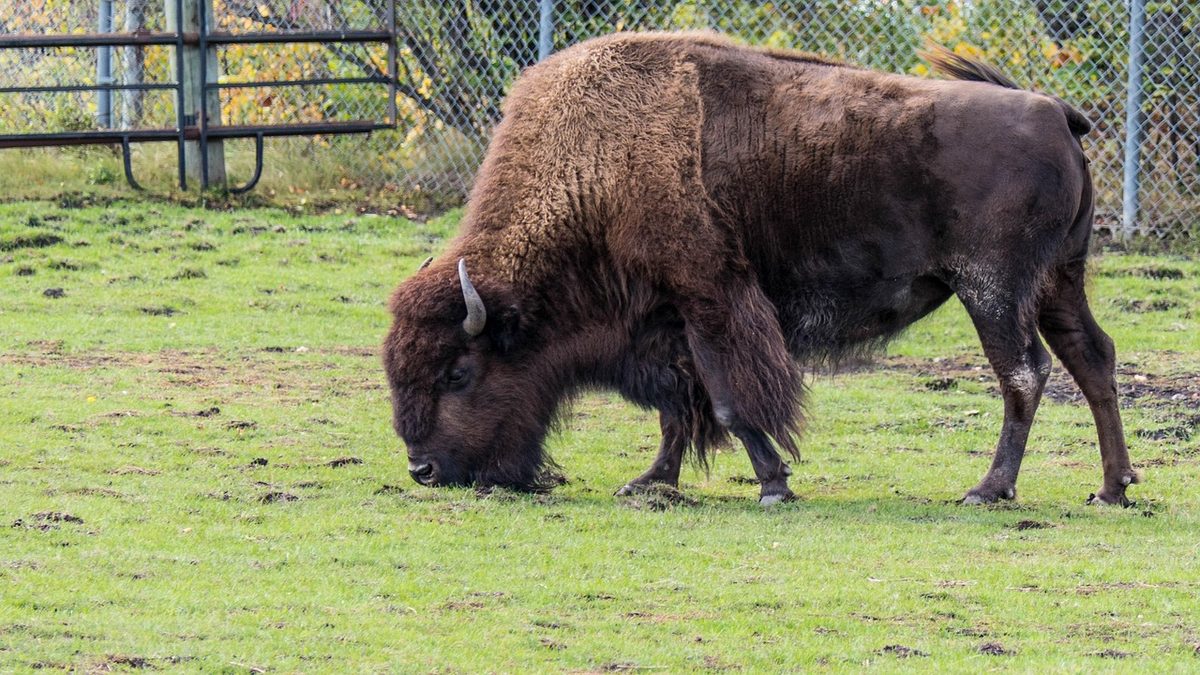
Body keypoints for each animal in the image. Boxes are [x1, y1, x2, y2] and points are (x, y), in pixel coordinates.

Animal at [383, 32, 1138, 506]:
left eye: (458, 372)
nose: (423, 469)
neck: (597, 165)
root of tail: (1053, 111)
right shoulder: (668, 321)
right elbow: (678, 407)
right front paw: (651, 482)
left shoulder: (710, 298)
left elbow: (726, 399)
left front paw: (774, 483)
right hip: (1058, 282)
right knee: (1092, 358)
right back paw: (1112, 488)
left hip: (994, 290)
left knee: (1025, 374)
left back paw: (988, 489)